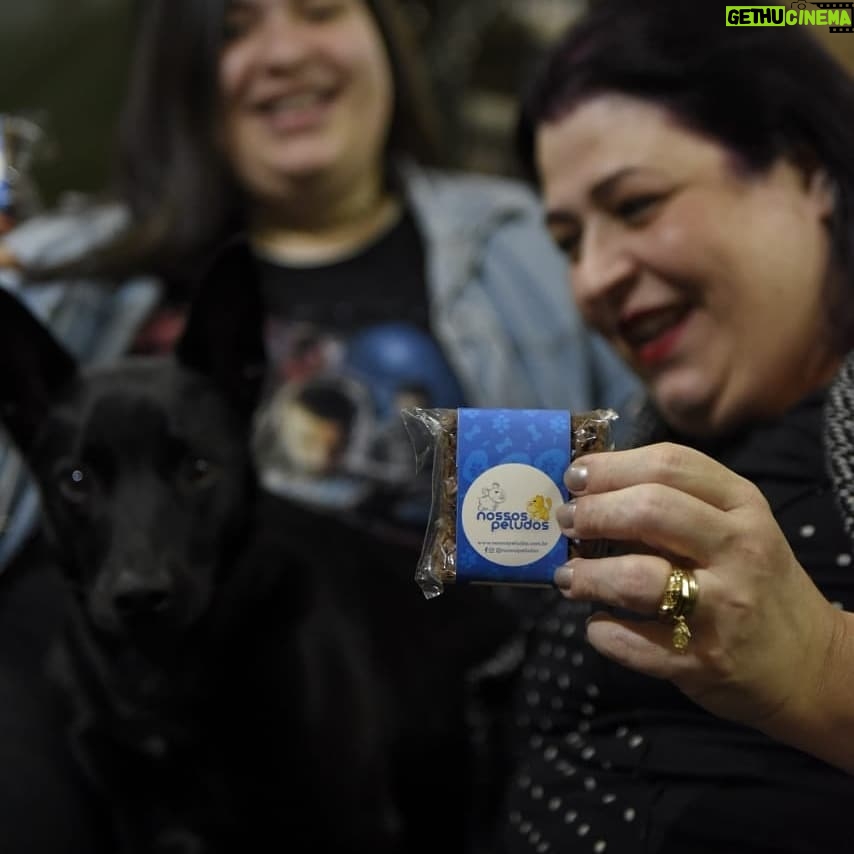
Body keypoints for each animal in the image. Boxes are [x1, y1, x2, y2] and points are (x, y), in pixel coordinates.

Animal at [0, 254, 516, 854]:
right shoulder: (139, 817)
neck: (161, 673)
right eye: (76, 481)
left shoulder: (352, 815)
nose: (139, 597)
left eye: (198, 469)